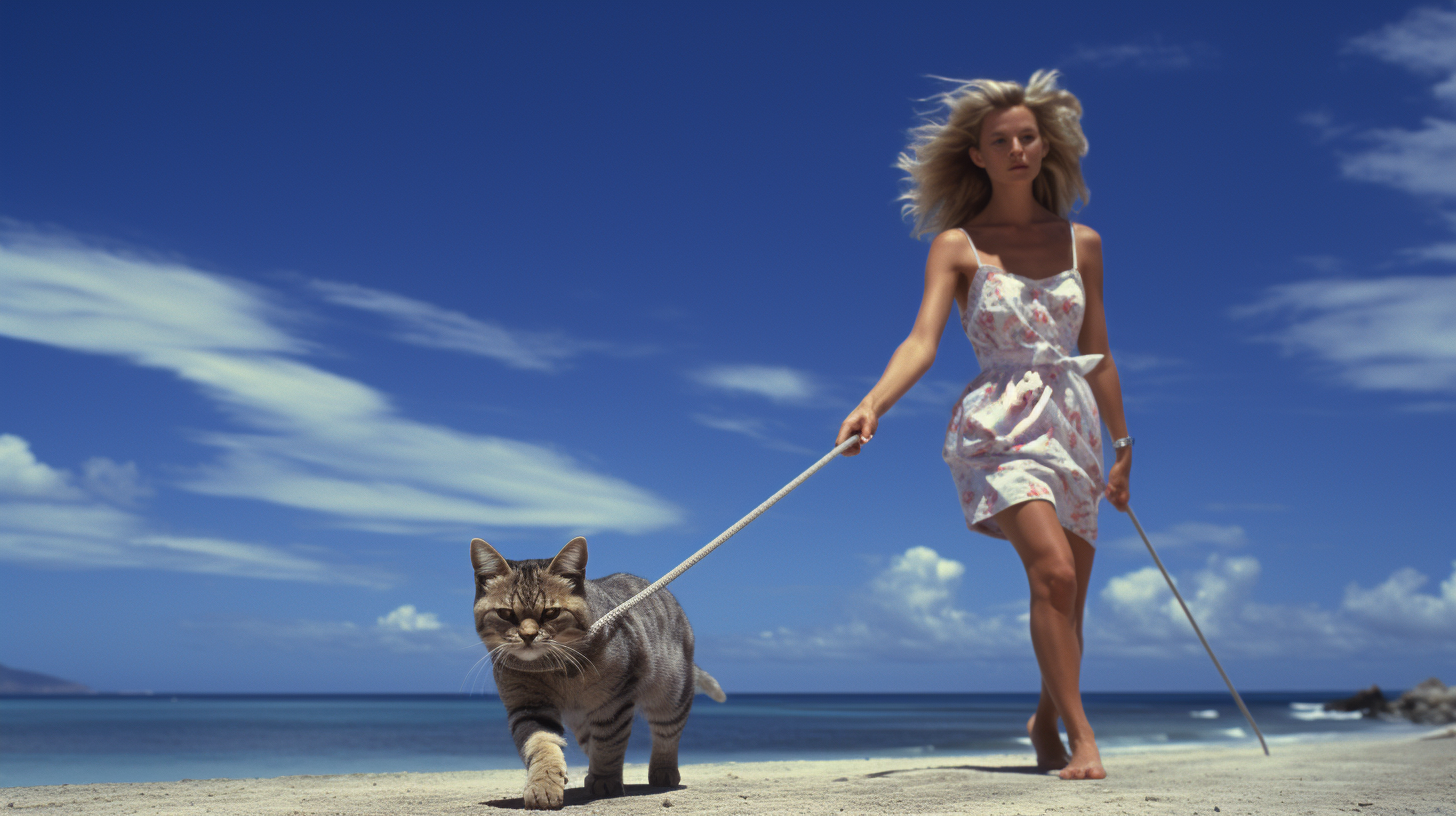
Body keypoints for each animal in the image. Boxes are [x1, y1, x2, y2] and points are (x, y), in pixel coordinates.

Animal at [471, 536, 728, 810]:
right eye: (506, 614)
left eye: (551, 612)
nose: (528, 635)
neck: (554, 667)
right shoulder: (529, 707)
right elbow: (542, 746)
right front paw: (544, 784)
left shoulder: (613, 703)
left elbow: (609, 744)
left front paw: (605, 780)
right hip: (583, 724)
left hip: (671, 695)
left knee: (666, 735)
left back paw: (663, 771)